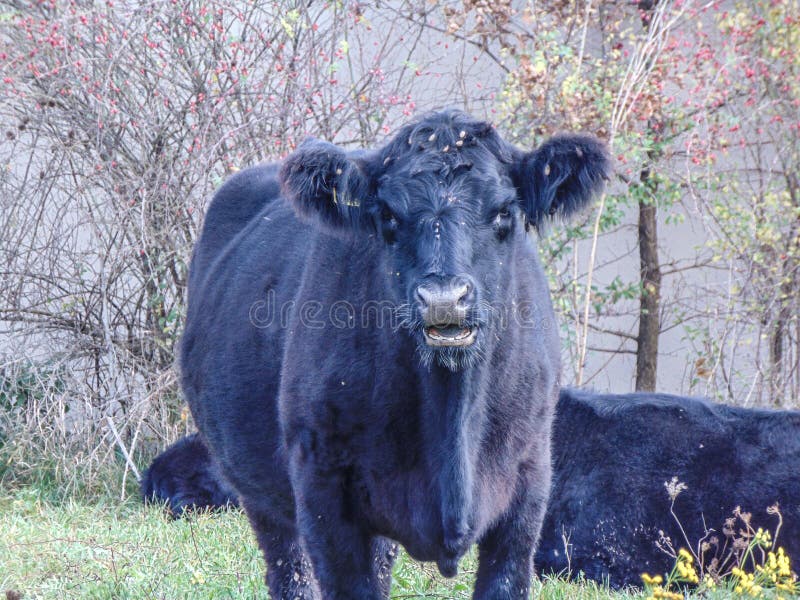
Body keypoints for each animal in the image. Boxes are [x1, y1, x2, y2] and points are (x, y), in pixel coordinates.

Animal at [179, 109, 610, 599]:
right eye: (387, 214)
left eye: (504, 210)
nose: (444, 298)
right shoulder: (324, 493)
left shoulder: (528, 488)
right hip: (260, 494)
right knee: (290, 572)